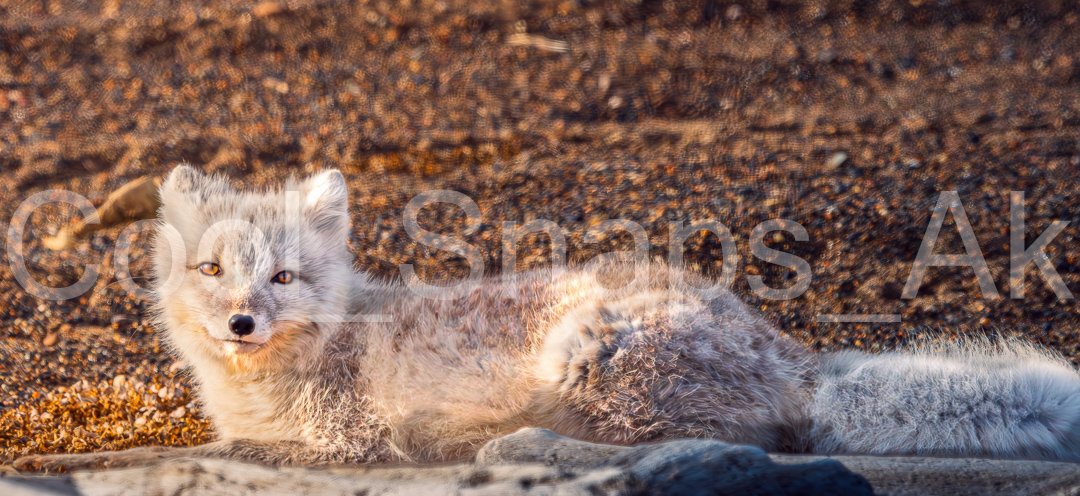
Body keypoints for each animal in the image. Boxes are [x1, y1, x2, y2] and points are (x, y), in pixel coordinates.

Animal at [14, 165, 1080, 472]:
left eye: (281, 278)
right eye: (211, 270)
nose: (240, 321)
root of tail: (795, 354)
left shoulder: (344, 444)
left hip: (588, 354)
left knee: (686, 444)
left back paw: (511, 449)